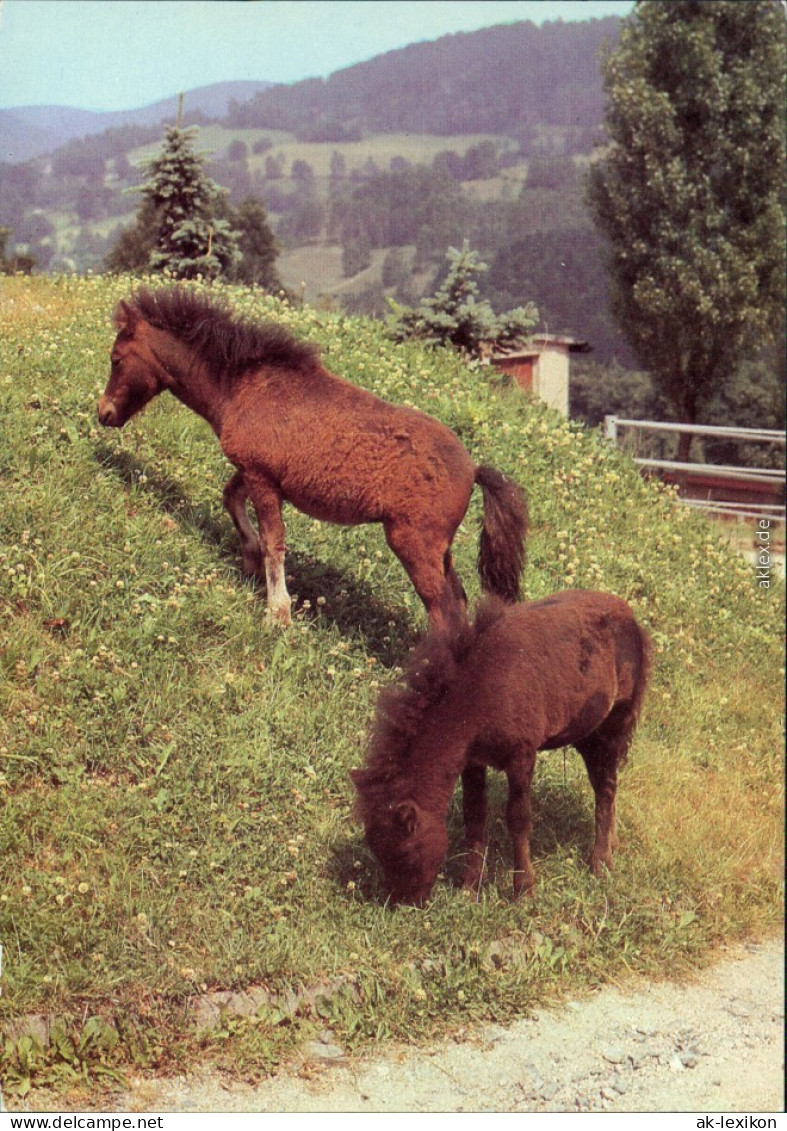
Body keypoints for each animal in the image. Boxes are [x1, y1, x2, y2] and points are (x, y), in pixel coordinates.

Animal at [100, 287, 529, 633]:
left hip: (414, 546)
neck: (244, 386)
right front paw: (249, 559)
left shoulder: (261, 478)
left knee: (442, 612)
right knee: (458, 603)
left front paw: (278, 613)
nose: (103, 413)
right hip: (441, 551)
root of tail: (473, 469)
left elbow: (274, 542)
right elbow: (232, 500)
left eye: (116, 359)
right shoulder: (255, 473)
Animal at [352, 588, 651, 904]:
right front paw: (470, 887)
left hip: (609, 730)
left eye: (405, 852)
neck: (479, 693)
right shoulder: (472, 762)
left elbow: (518, 819)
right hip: (586, 734)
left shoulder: (521, 758)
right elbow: (474, 818)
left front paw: (524, 889)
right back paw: (612, 844)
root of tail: (632, 620)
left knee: (605, 789)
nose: (405, 901)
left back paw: (600, 862)